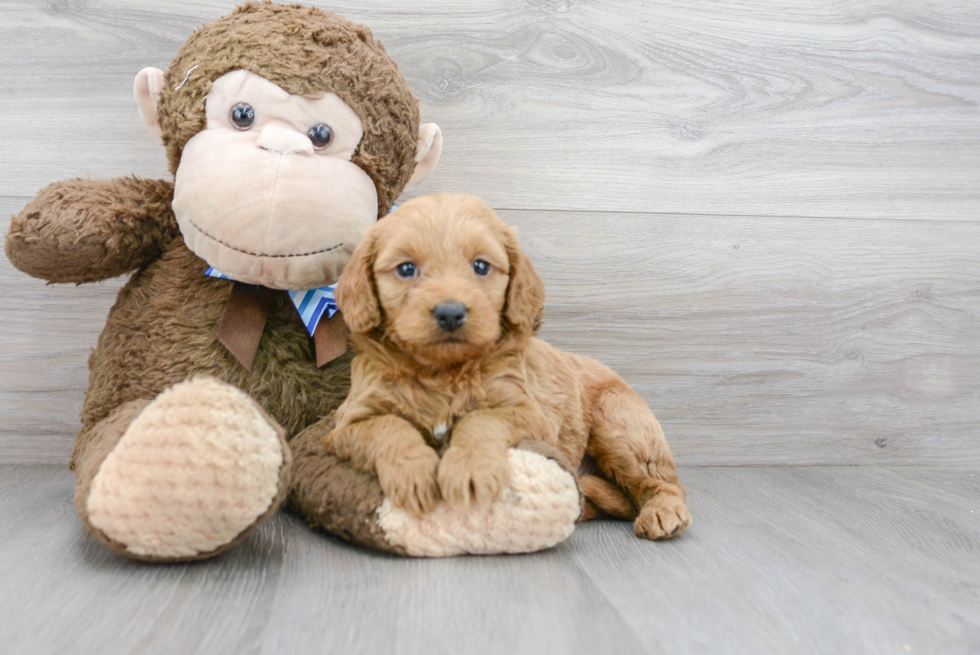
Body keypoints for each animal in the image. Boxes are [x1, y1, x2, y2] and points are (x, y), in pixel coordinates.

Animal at [326, 193, 692, 540]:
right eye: (405, 269)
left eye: (481, 266)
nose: (450, 313)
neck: (443, 372)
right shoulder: (347, 423)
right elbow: (389, 426)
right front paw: (413, 474)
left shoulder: (530, 413)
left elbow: (481, 418)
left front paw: (469, 470)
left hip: (620, 426)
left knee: (663, 483)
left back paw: (664, 512)